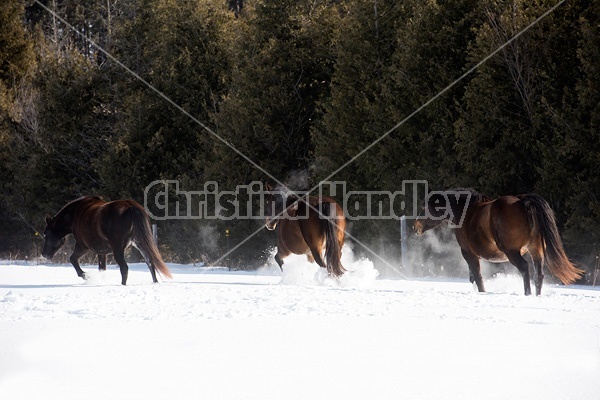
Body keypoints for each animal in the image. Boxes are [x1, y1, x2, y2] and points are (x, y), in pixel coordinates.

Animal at [41, 196, 173, 284]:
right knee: (150, 263)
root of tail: (131, 207)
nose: (44, 254)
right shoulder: (101, 251)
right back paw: (155, 283)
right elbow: (102, 269)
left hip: (118, 249)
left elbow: (72, 259)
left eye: (46, 234)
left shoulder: (83, 246)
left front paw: (85, 276)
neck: (76, 215)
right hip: (140, 244)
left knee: (124, 268)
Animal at [414, 189, 584, 296]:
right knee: (539, 275)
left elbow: (478, 277)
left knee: (524, 268)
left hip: (512, 252)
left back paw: (527, 294)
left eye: (424, 208)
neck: (467, 212)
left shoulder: (468, 253)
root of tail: (523, 202)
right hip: (536, 250)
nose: (415, 227)